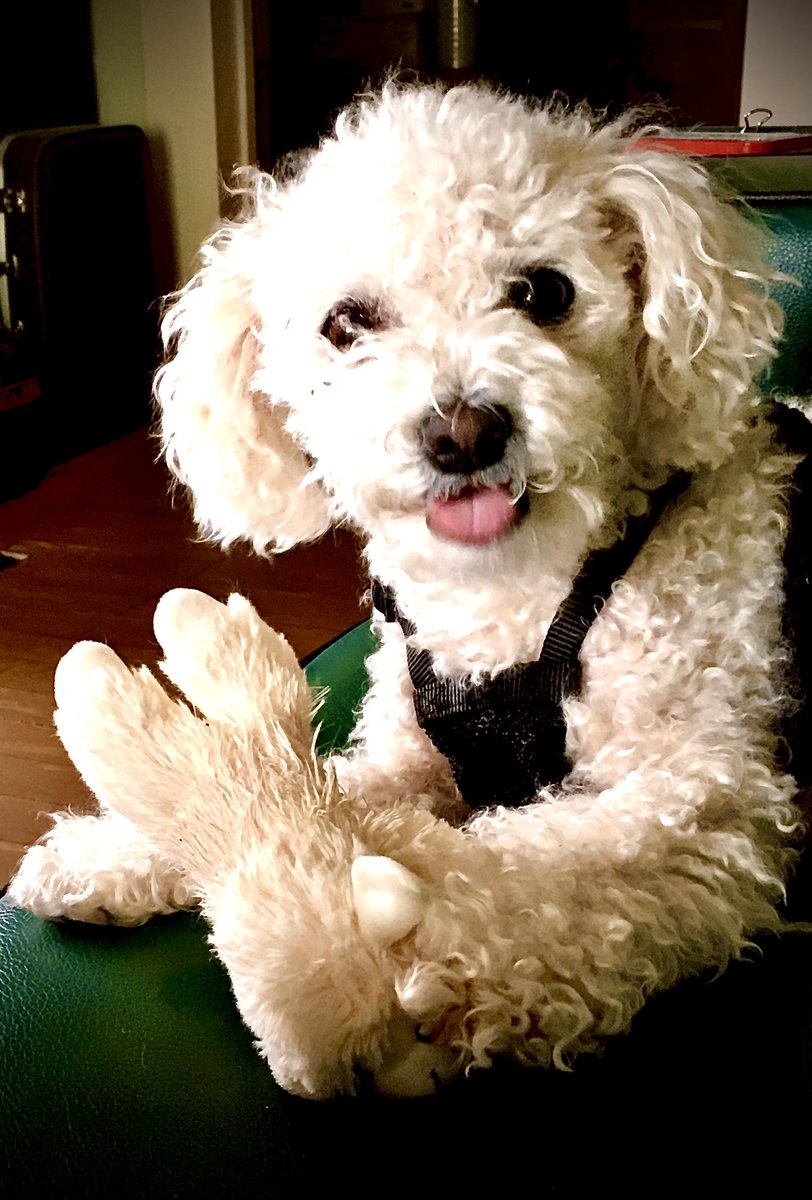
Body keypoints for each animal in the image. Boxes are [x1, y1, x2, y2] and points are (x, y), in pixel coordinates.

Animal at [7, 82, 810, 1099]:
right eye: (346, 324)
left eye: (543, 292)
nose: (463, 432)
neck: (516, 596)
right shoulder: (414, 757)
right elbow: (336, 787)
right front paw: (118, 849)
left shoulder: (707, 801)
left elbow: (534, 871)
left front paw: (412, 949)